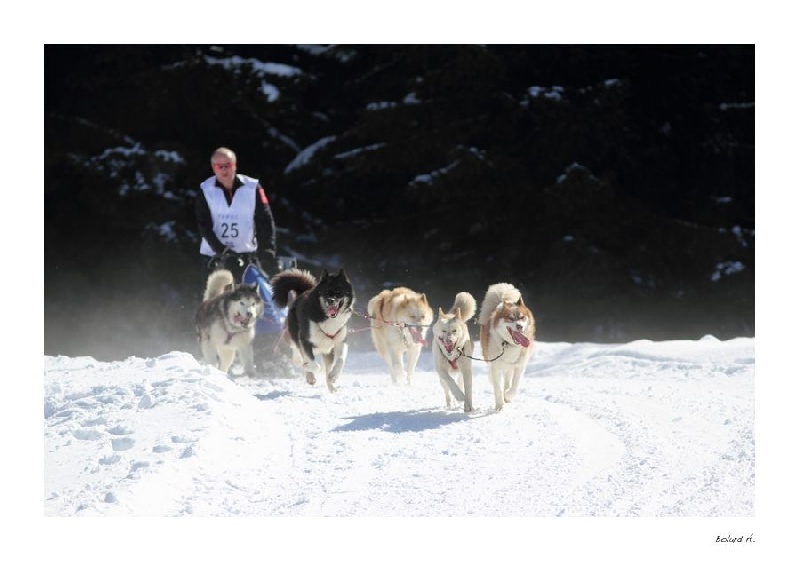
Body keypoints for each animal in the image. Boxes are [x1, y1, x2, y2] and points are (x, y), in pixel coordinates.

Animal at [478, 283, 535, 411]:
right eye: (510, 318)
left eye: (522, 317)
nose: (519, 326)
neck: (509, 345)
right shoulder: (495, 367)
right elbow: (497, 388)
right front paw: (499, 405)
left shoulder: (520, 366)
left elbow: (515, 386)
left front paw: (508, 395)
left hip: (510, 366)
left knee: (508, 379)